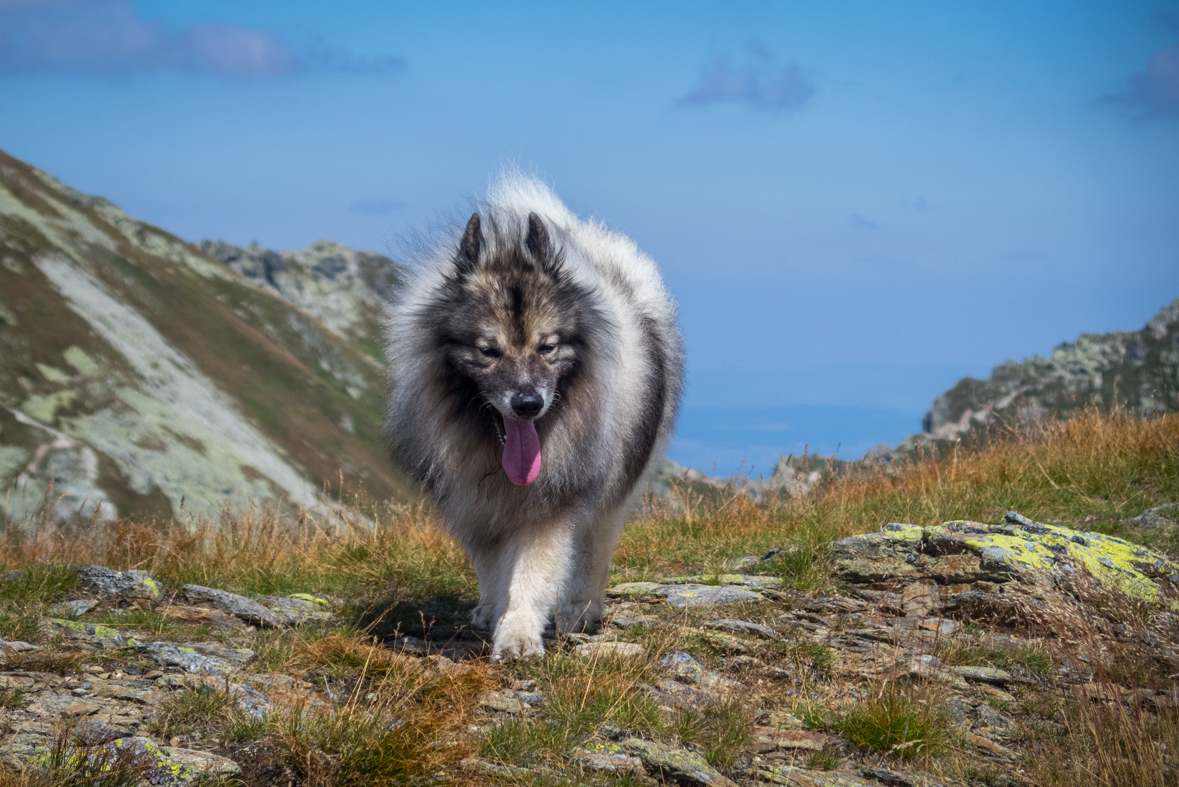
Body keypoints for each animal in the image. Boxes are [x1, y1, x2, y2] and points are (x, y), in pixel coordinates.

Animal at [386, 175, 683, 659]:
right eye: (488, 351)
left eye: (547, 346)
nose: (528, 404)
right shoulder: (477, 506)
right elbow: (493, 569)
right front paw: (497, 613)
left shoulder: (553, 501)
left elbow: (533, 572)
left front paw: (519, 634)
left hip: (619, 479)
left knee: (595, 548)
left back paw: (582, 612)